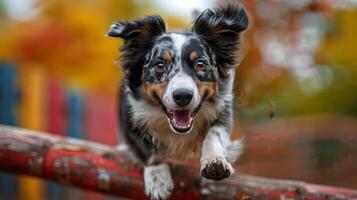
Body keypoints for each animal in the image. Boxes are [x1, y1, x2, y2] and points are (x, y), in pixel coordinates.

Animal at [107, 1, 249, 198]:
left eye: (200, 64)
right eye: (160, 65)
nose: (183, 95)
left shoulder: (223, 111)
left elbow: (215, 134)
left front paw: (214, 161)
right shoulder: (129, 119)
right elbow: (148, 152)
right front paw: (158, 179)